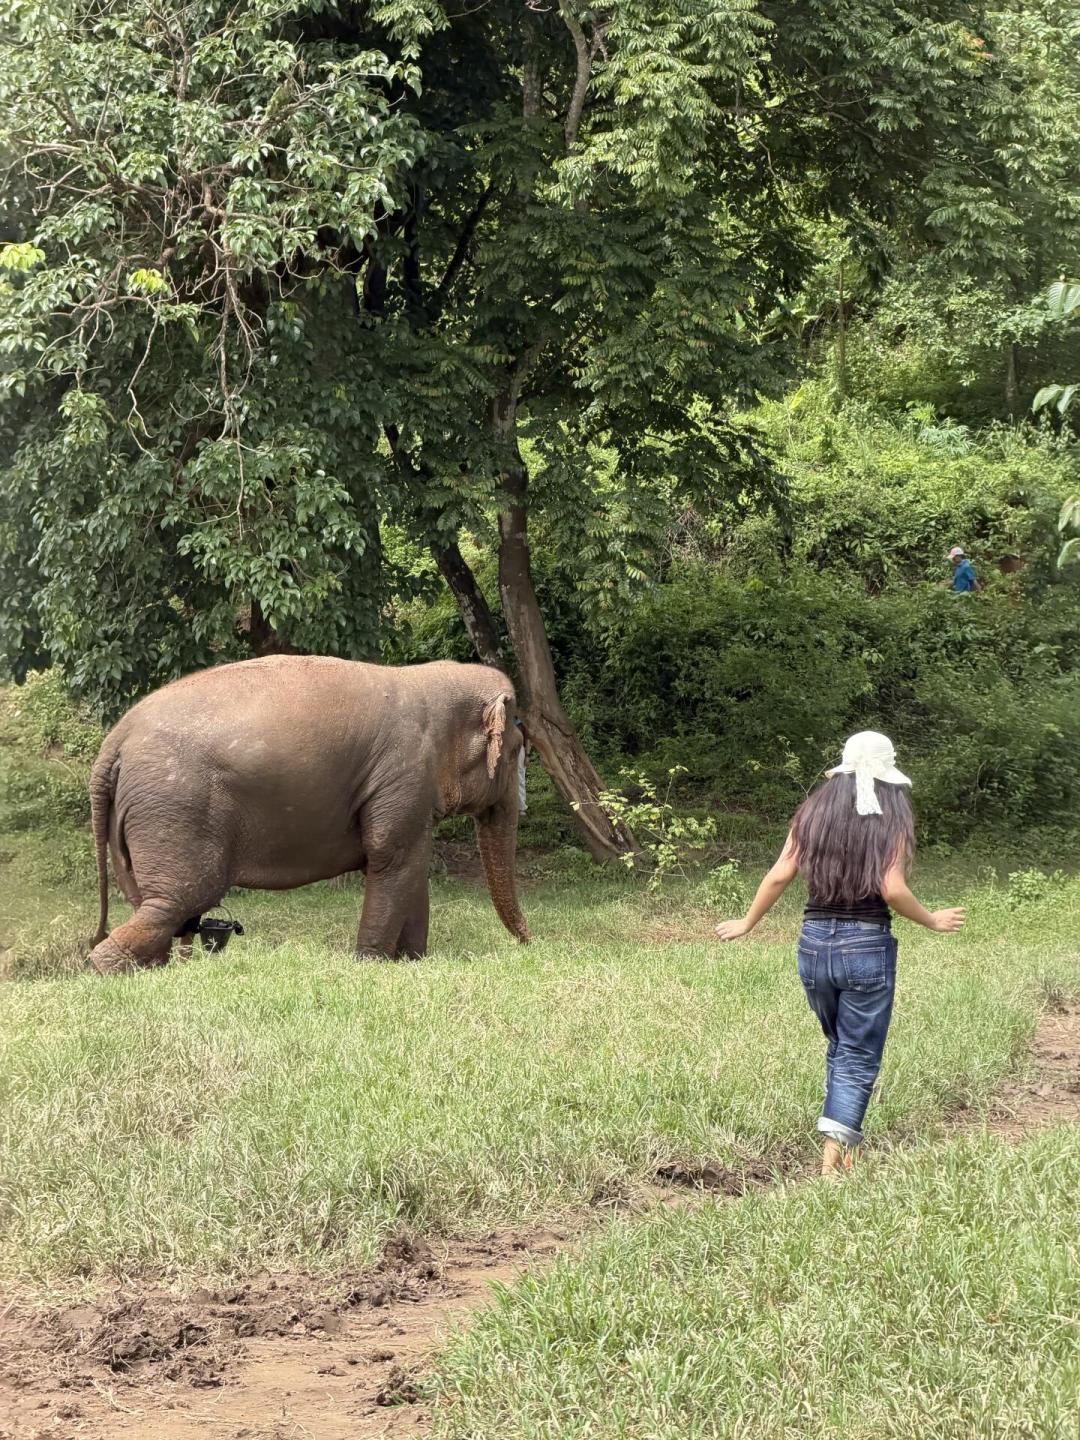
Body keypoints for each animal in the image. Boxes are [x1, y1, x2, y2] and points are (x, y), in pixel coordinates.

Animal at [87, 656, 530, 972]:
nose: (530, 945)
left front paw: (411, 962)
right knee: (180, 900)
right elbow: (392, 858)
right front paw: (370, 964)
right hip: (174, 809)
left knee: (154, 905)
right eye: (514, 752)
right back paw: (105, 968)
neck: (429, 680)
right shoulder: (404, 775)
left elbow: (409, 866)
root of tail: (115, 740)